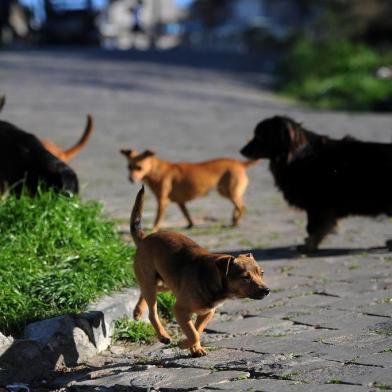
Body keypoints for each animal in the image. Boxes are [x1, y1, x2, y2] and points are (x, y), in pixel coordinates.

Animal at [121, 149, 258, 230]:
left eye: (139, 167)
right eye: (129, 167)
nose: (130, 179)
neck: (156, 170)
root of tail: (240, 164)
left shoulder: (162, 201)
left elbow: (157, 219)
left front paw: (153, 229)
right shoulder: (181, 202)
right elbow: (187, 215)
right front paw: (190, 225)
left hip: (228, 192)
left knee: (242, 207)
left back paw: (236, 223)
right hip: (228, 192)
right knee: (238, 206)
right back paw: (234, 219)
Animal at [129, 185, 270, 356]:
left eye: (261, 273)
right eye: (245, 277)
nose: (267, 291)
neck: (214, 283)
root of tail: (144, 238)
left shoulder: (207, 313)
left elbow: (197, 329)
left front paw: (193, 347)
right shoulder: (180, 309)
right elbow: (193, 332)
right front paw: (184, 343)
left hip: (165, 282)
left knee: (145, 292)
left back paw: (138, 310)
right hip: (150, 280)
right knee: (152, 312)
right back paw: (163, 335)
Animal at [240, 115, 392, 253]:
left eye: (260, 136)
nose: (242, 150)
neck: (299, 154)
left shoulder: (317, 205)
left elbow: (313, 228)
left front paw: (308, 246)